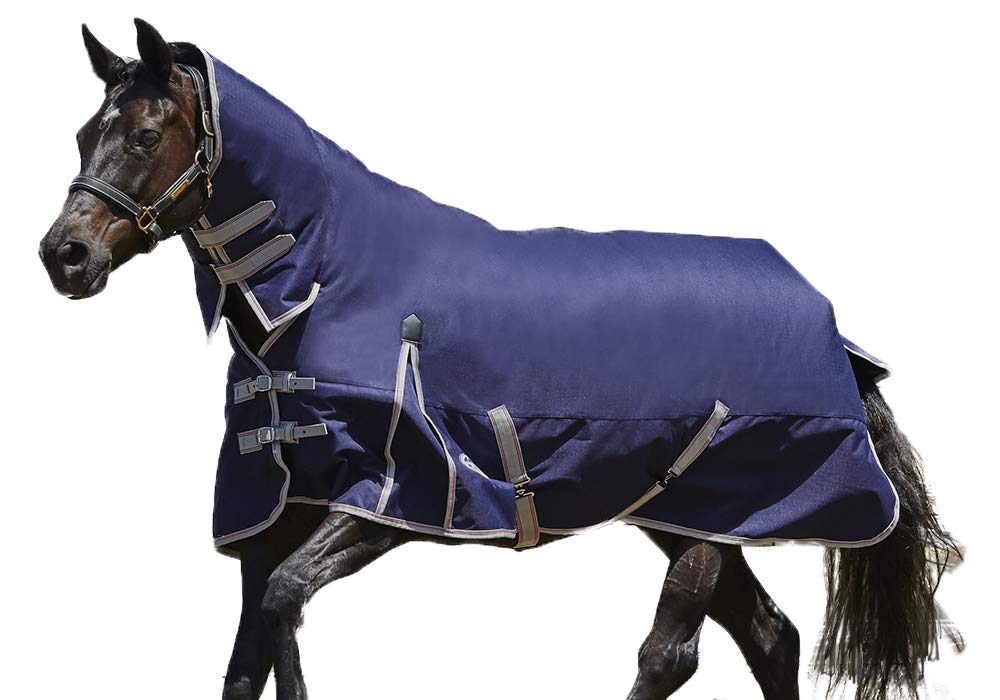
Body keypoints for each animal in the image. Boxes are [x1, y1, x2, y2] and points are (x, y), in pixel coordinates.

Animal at [38, 19, 962, 700]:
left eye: (147, 134)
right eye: (85, 132)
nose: (64, 256)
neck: (326, 281)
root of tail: (829, 321)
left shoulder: (392, 498)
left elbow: (282, 606)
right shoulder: (275, 510)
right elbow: (247, 657)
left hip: (716, 511)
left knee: (672, 653)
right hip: (693, 516)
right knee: (771, 639)